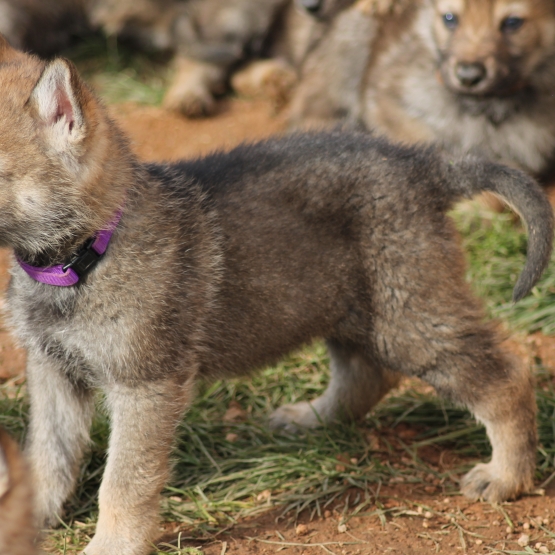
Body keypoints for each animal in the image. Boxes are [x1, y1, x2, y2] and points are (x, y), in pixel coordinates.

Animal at [0, 37, 552, 552]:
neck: (88, 252)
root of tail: (425, 166)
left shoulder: (145, 385)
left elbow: (123, 482)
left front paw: (111, 544)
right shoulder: (53, 374)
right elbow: (48, 457)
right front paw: (32, 515)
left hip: (410, 321)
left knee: (506, 376)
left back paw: (507, 475)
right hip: (347, 307)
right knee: (367, 376)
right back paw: (311, 418)